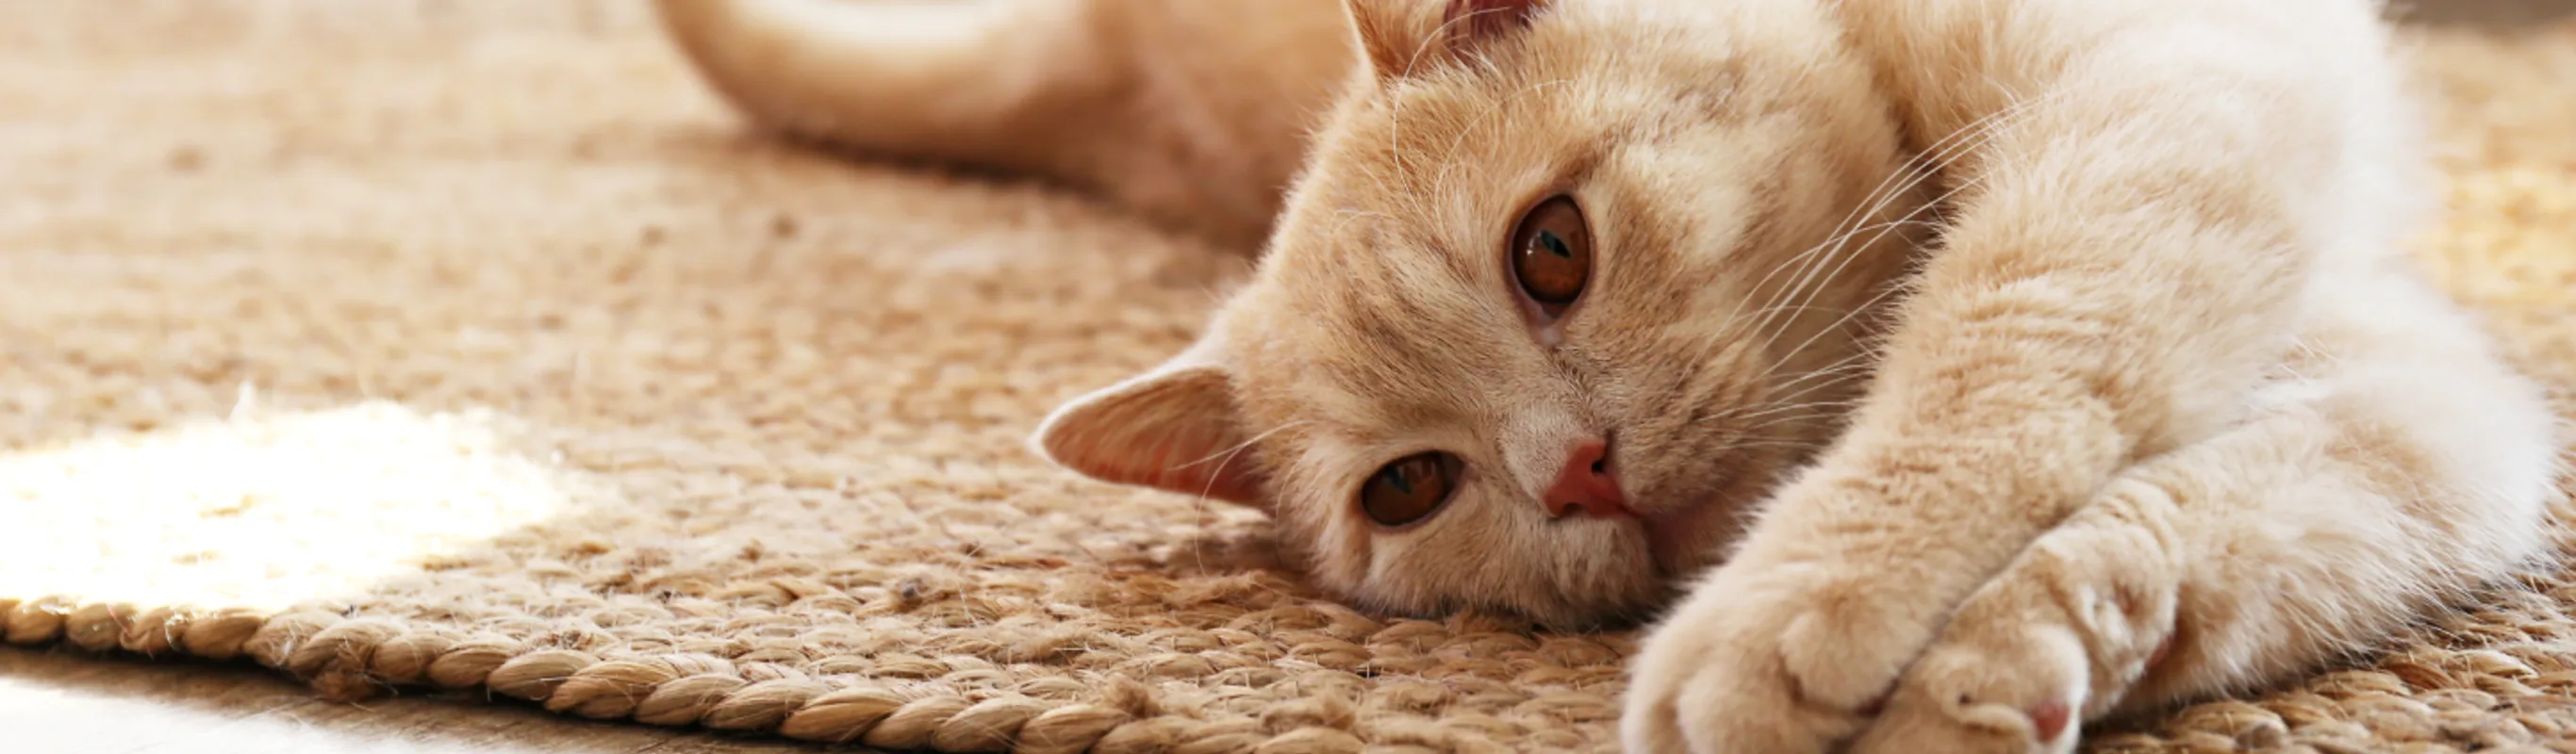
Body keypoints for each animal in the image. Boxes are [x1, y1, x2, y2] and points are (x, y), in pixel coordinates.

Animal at [653, 0, 2566, 746]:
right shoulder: (2431, 412)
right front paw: (1997, 658)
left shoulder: (2179, 93)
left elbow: (2009, 340)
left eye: (1550, 252)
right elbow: (2224, 528)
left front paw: (1799, 611)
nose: (1575, 470)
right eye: (1413, 487)